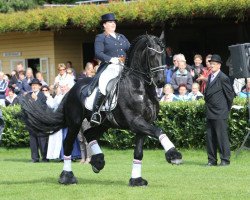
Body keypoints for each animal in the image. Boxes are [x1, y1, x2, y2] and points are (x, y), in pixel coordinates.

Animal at [21, 34, 182, 186]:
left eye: (164, 54)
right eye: (151, 54)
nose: (161, 81)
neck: (140, 86)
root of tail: (71, 90)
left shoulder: (143, 124)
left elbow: (138, 153)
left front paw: (136, 180)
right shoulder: (136, 121)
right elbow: (159, 130)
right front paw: (174, 155)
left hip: (104, 124)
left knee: (88, 134)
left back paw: (97, 161)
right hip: (75, 123)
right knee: (68, 144)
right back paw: (67, 177)